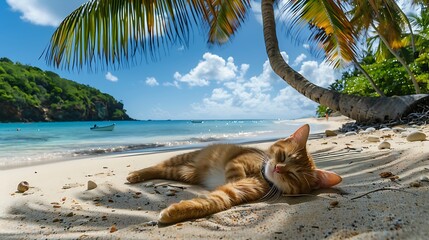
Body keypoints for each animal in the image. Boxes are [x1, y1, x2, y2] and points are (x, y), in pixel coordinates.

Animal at [125, 124, 340, 224]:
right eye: (283, 156)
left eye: (294, 175)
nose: (278, 168)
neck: (261, 175)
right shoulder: (238, 161)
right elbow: (234, 172)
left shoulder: (235, 191)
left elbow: (215, 200)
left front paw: (175, 212)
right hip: (181, 160)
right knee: (158, 166)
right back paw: (136, 174)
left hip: (183, 172)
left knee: (163, 169)